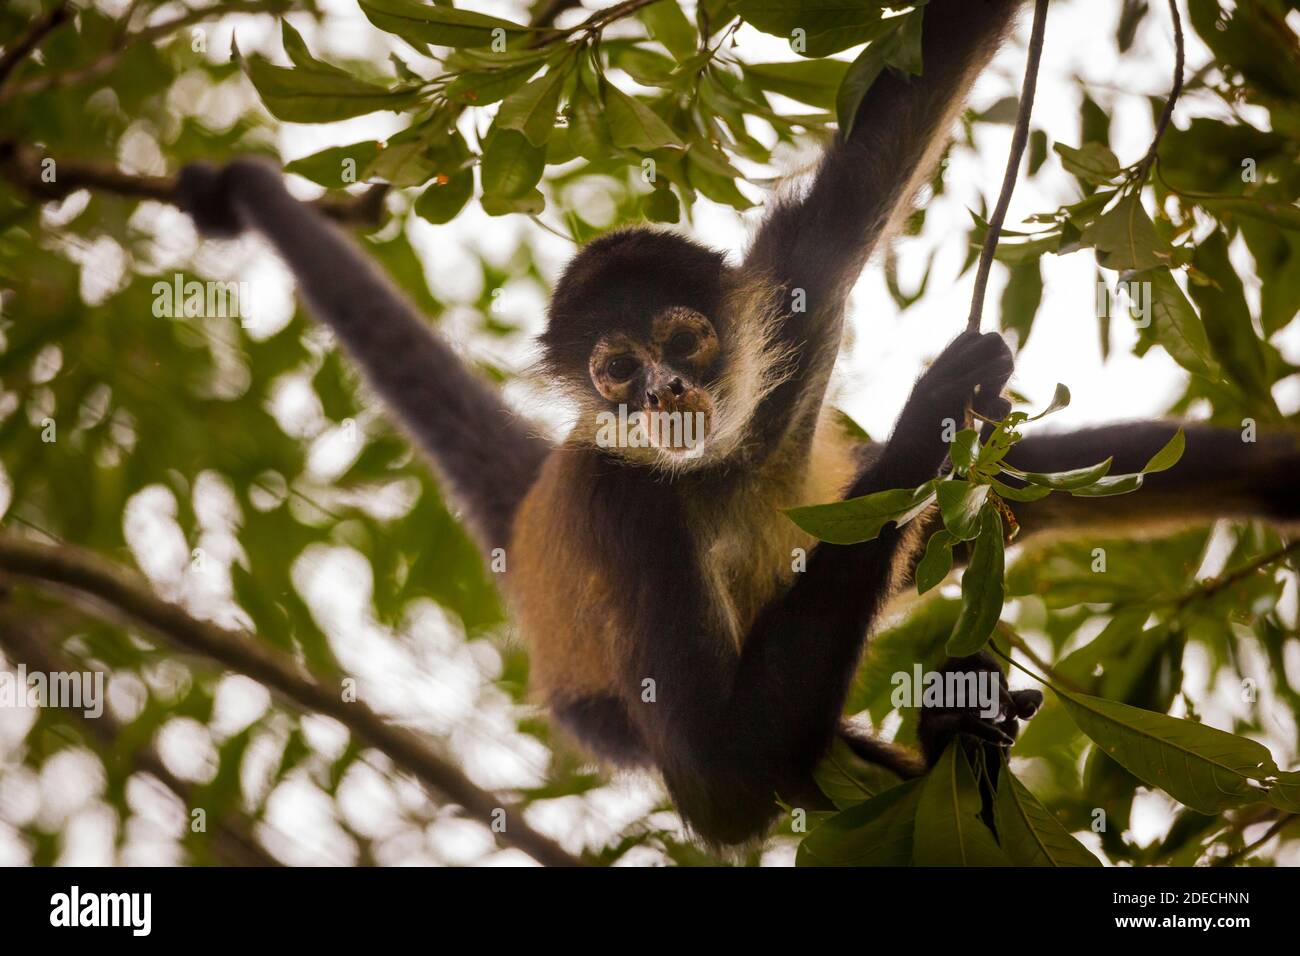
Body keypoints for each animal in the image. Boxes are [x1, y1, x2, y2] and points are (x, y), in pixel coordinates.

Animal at [175, 1, 1300, 853]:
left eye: (684, 339)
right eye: (615, 371)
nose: (663, 392)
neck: (711, 466)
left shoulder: (792, 293)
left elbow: (920, 84)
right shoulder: (622, 501)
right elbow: (721, 779)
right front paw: (930, 419)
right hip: (596, 705)